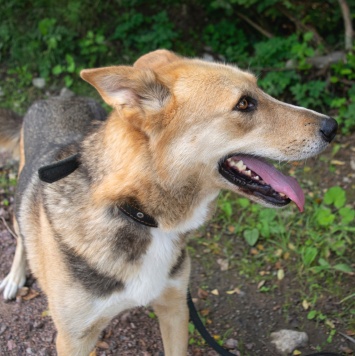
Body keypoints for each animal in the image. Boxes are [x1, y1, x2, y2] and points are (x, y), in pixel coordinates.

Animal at [0, 48, 338, 354]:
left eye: (260, 90)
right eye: (244, 103)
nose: (332, 127)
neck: (141, 215)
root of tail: (57, 98)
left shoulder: (176, 308)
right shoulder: (74, 338)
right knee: (21, 234)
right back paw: (15, 277)